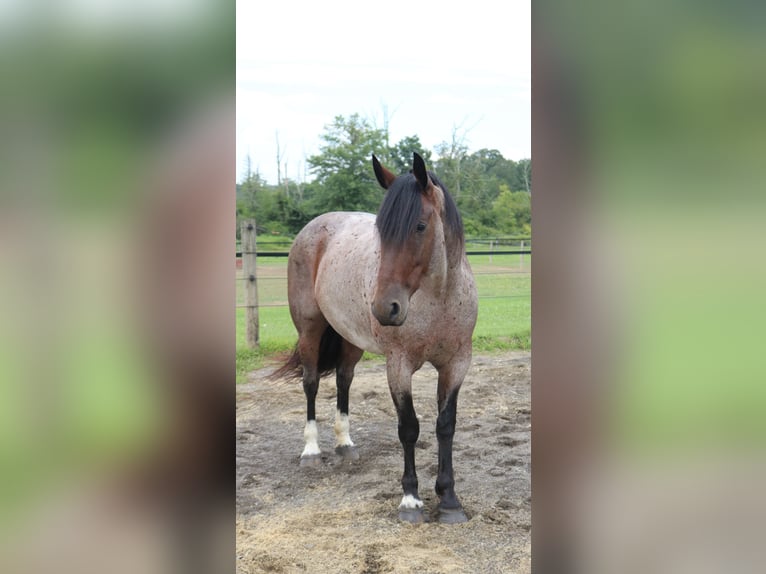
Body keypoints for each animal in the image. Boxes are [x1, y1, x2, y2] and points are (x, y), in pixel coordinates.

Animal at [272, 152, 478, 523]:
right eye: (381, 233)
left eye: (420, 227)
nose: (385, 308)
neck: (439, 299)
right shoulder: (398, 366)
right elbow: (409, 427)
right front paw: (410, 500)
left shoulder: (456, 364)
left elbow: (446, 425)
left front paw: (450, 500)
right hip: (310, 331)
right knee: (311, 383)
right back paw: (311, 451)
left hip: (350, 338)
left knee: (343, 380)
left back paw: (345, 444)